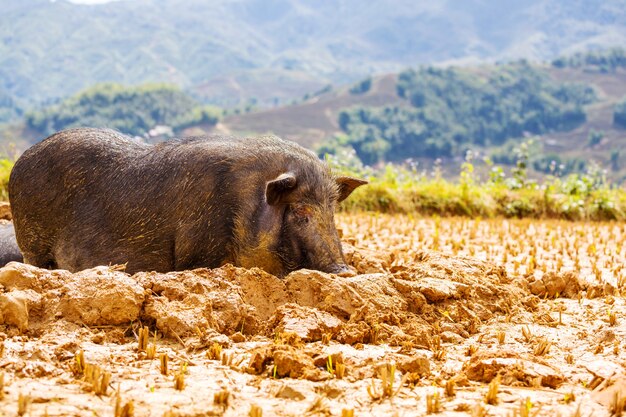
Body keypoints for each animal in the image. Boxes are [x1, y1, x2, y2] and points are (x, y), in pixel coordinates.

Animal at [9, 127, 366, 276]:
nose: (344, 270)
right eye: (301, 212)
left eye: (332, 213)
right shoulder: (197, 251)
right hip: (33, 244)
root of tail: (18, 162)